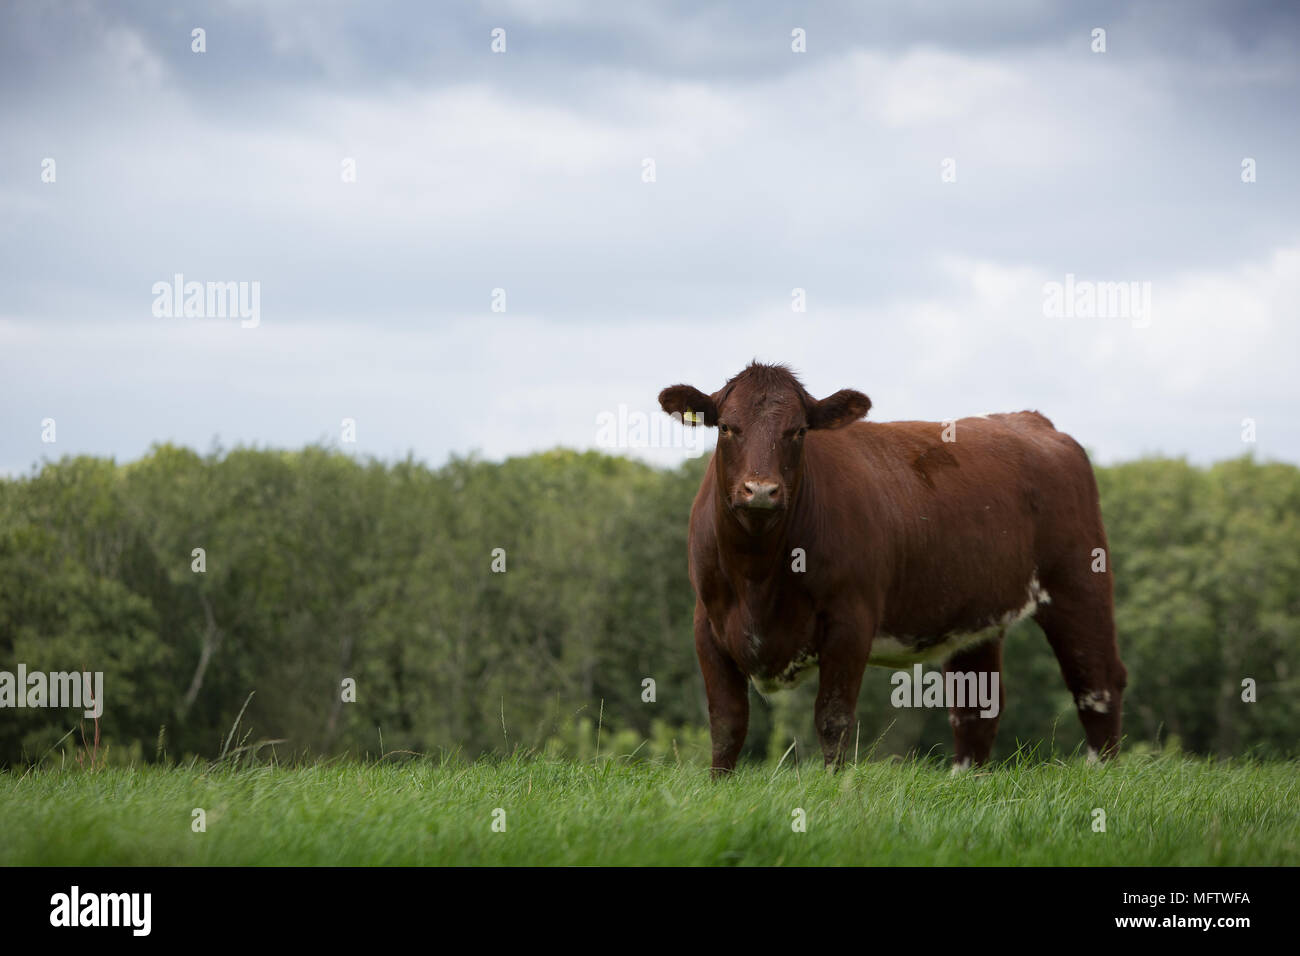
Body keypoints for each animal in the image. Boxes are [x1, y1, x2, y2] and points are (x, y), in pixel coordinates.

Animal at [660, 361, 1128, 775]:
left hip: (1078, 584)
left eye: (798, 430)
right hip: (976, 614)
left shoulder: (850, 620)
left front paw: (836, 788)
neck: (757, 574)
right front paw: (718, 786)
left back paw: (1101, 777)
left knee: (1098, 685)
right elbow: (727, 724)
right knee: (976, 711)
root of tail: (1031, 421)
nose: (760, 490)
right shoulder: (707, 624)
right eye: (726, 427)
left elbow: (833, 719)